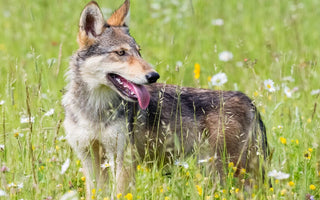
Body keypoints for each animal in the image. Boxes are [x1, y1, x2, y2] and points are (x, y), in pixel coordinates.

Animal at [62, 0, 268, 197]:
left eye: (139, 51)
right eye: (121, 53)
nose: (153, 76)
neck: (94, 109)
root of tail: (248, 100)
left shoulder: (123, 160)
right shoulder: (90, 158)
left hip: (231, 174)